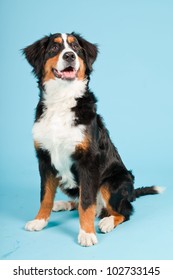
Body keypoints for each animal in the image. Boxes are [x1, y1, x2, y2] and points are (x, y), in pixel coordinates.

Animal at [22, 33, 162, 247]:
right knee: (81, 201)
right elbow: (45, 196)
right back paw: (63, 204)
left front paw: (87, 233)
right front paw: (39, 220)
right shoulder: (44, 159)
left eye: (76, 48)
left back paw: (107, 222)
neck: (61, 100)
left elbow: (86, 202)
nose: (70, 56)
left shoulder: (88, 161)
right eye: (54, 48)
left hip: (113, 181)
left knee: (124, 211)